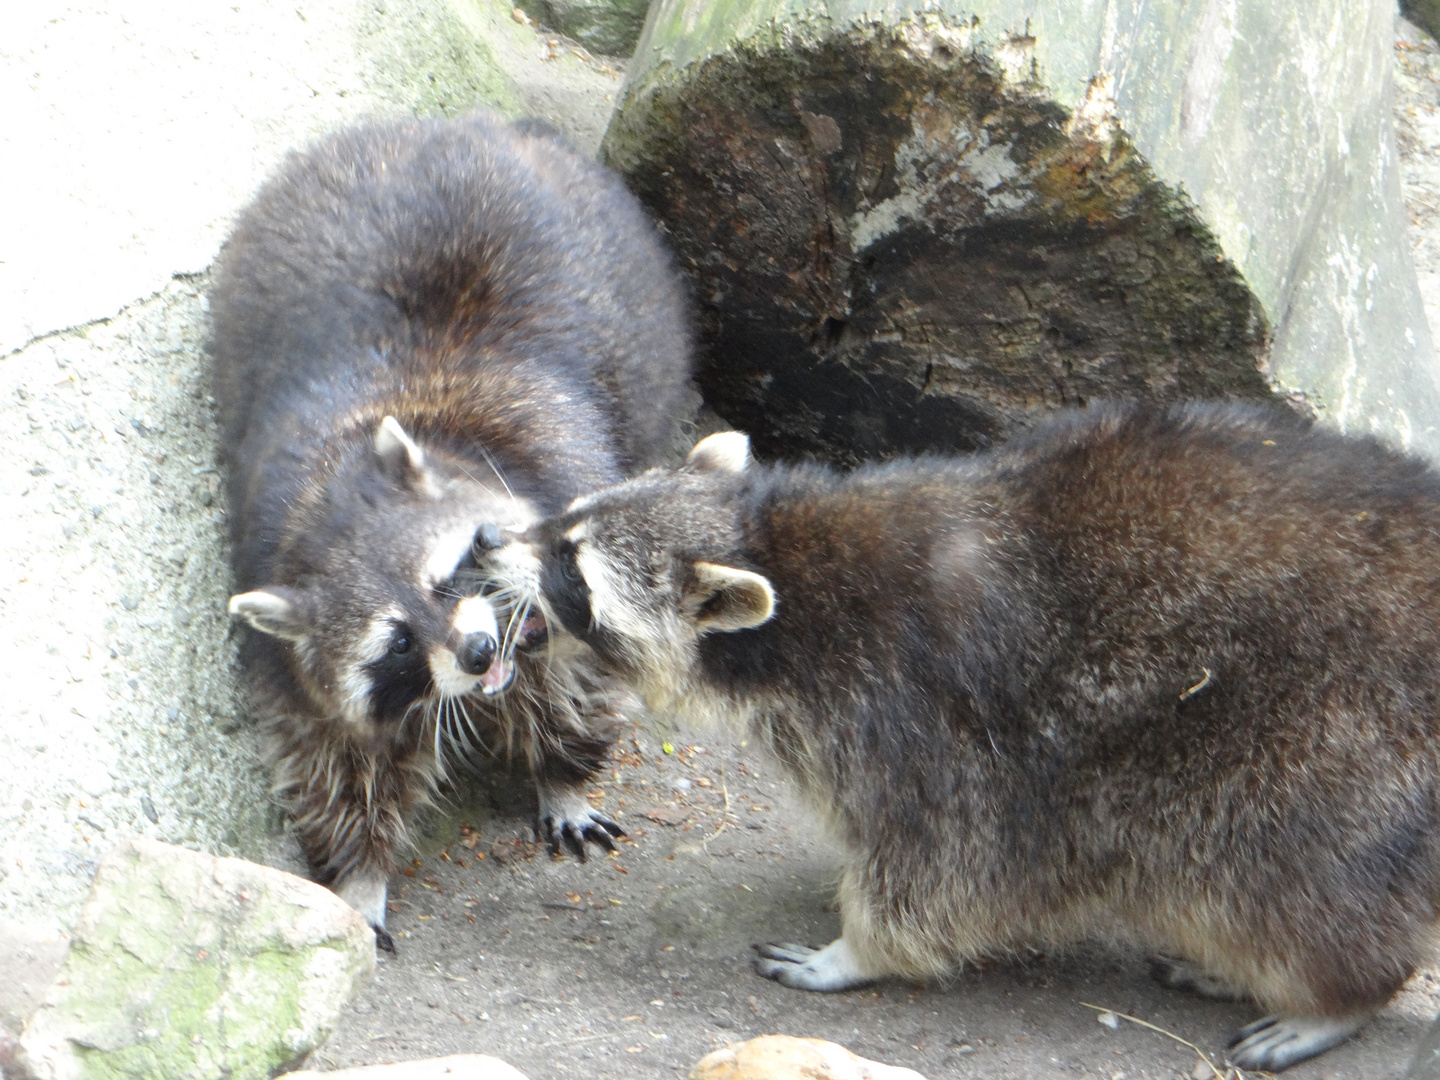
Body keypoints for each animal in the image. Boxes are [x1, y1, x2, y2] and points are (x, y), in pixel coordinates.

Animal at [207, 114, 691, 950]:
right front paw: (359, 873)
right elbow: (343, 764)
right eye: (397, 642)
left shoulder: (561, 519)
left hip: (638, 312)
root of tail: (458, 126)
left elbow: (574, 681)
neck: (331, 500)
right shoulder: (288, 655)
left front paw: (561, 774)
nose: (477, 652)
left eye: (450, 573)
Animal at [478, 406, 1440, 1077]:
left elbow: (941, 866)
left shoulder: (928, 720)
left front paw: (857, 951)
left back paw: (1336, 993)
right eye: (563, 519)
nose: (487, 535)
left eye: (572, 569)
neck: (782, 557)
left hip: (1327, 752)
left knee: (1280, 881)